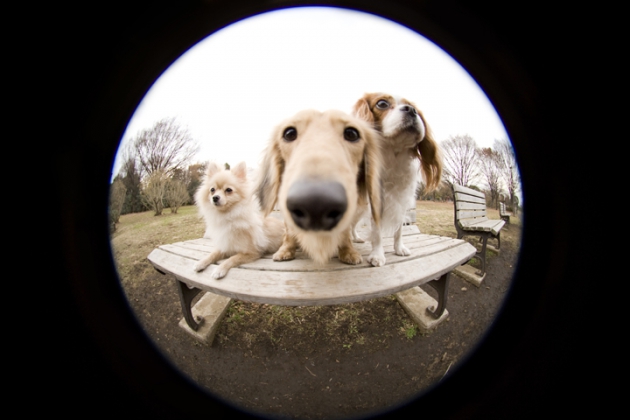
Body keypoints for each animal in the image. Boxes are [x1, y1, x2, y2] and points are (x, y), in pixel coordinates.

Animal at [350, 94, 444, 268]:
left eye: (414, 107)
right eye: (382, 103)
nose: (412, 110)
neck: (393, 157)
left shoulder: (403, 200)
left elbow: (399, 229)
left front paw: (399, 248)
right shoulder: (376, 202)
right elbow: (377, 232)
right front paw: (377, 255)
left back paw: (356, 238)